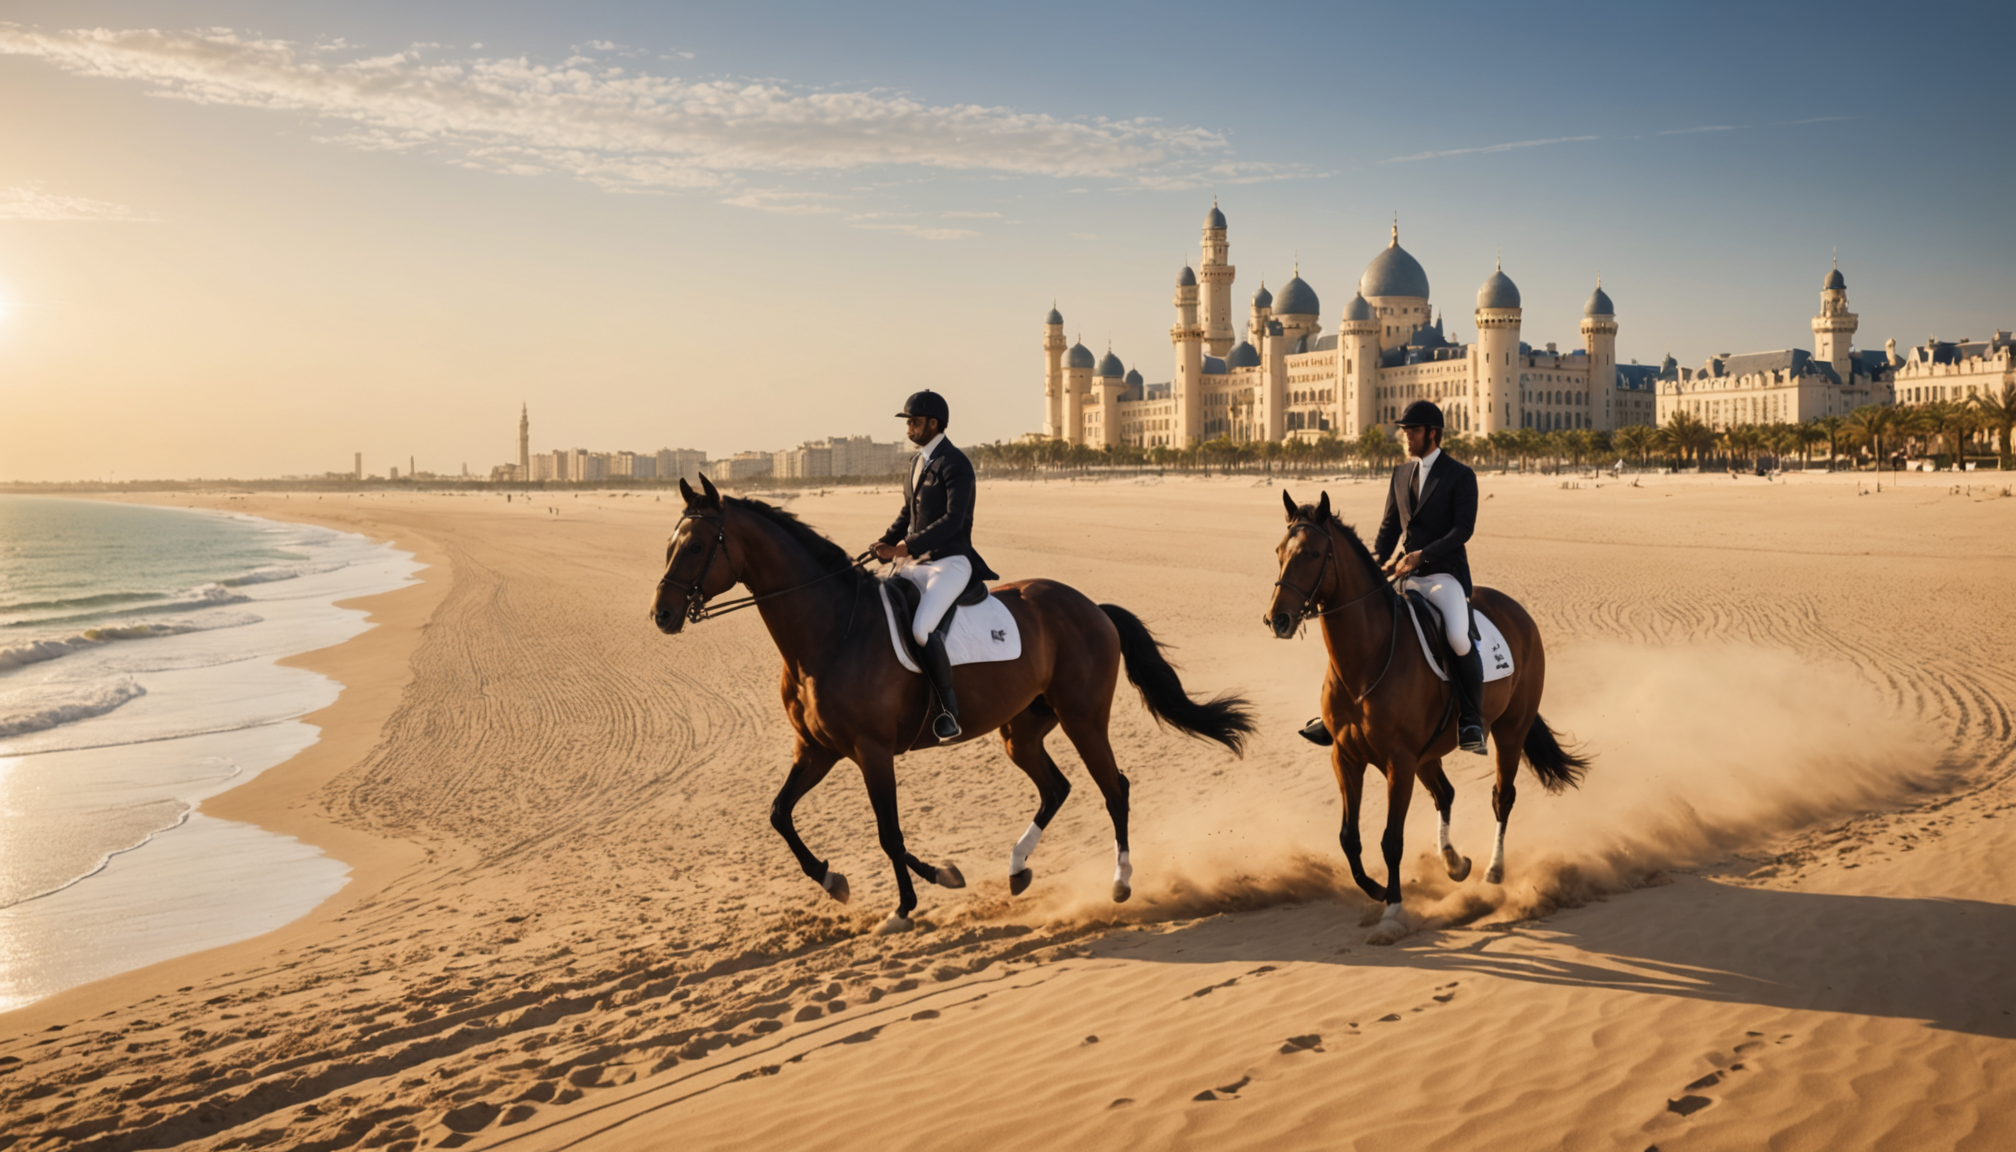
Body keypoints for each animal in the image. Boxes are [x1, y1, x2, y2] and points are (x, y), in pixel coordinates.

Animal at [652, 475, 1254, 934]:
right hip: (1022, 731)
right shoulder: (817, 750)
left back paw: (1121, 883)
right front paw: (846, 880)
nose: (661, 615)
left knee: (1115, 789)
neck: (830, 632)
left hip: (1083, 719)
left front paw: (904, 907)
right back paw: (1017, 869)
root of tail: (1092, 607)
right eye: (670, 544)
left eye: (698, 546)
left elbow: (888, 832)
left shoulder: (871, 751)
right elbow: (780, 814)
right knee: (1056, 788)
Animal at [1265, 489, 1588, 944]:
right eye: (1279, 552)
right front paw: (1379, 890)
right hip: (1428, 753)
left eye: (1312, 553)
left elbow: (1391, 841)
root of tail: (1516, 611)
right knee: (1445, 793)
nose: (1277, 619)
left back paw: (1493, 871)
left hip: (1509, 731)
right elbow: (1349, 838)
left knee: (1502, 797)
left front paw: (1392, 912)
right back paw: (1454, 863)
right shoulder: (1346, 757)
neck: (1366, 658)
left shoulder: (1397, 762)